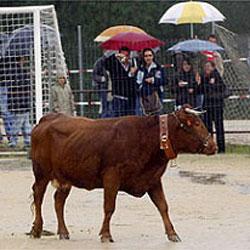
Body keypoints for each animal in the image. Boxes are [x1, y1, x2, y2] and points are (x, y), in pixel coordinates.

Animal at [29, 105, 217, 242]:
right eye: (197, 124)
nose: (213, 146)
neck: (147, 137)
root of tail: (47, 119)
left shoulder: (153, 179)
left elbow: (163, 206)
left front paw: (172, 233)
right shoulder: (111, 177)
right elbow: (109, 207)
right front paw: (106, 234)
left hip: (65, 178)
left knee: (58, 201)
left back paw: (63, 232)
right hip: (42, 173)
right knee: (38, 196)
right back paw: (37, 228)